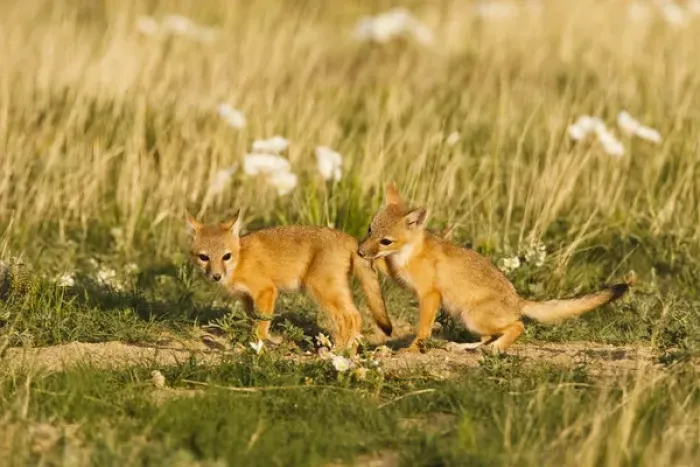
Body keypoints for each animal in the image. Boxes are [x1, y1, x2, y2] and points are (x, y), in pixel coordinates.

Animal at [185, 211, 393, 349]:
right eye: (204, 257)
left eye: (226, 256)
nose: (216, 276)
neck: (240, 259)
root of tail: (350, 238)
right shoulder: (246, 298)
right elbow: (254, 320)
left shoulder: (267, 291)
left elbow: (261, 326)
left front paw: (258, 347)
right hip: (336, 290)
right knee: (356, 316)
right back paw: (350, 353)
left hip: (321, 289)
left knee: (347, 318)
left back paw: (338, 352)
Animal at [357, 183, 636, 353]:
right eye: (370, 230)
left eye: (386, 241)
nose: (360, 251)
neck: (408, 254)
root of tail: (517, 299)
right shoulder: (402, 277)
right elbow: (385, 266)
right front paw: (370, 259)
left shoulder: (429, 295)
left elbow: (422, 330)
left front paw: (413, 349)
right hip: (469, 320)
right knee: (486, 338)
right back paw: (465, 347)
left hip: (473, 316)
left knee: (517, 326)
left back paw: (497, 348)